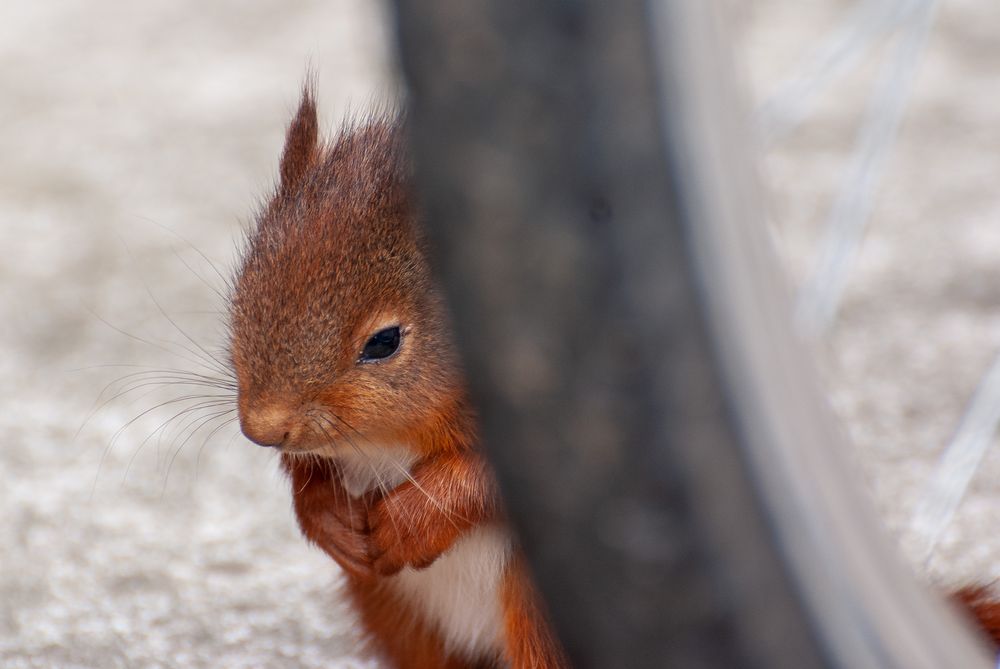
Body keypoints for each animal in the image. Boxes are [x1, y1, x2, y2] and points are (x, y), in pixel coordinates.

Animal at [229, 90, 572, 668]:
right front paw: (325, 517)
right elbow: (305, 470)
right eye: (244, 286)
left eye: (384, 342)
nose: (262, 429)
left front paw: (412, 520)